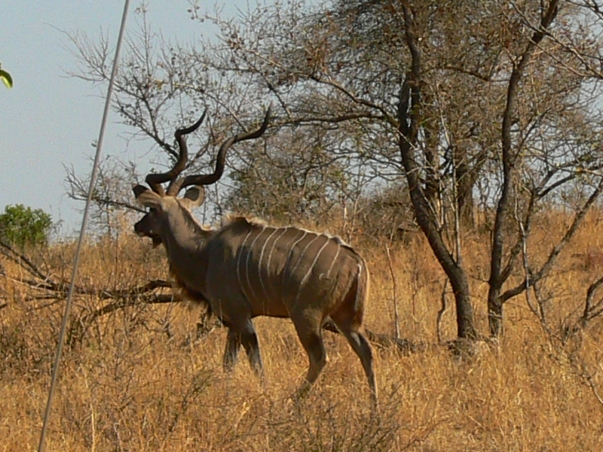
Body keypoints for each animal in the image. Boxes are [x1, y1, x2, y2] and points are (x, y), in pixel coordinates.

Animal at [132, 108, 377, 405]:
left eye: (151, 210)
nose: (138, 226)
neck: (204, 251)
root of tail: (355, 262)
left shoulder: (241, 318)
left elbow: (255, 363)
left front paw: (265, 396)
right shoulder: (232, 323)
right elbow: (228, 363)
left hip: (306, 316)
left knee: (319, 357)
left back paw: (293, 402)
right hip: (347, 318)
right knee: (366, 352)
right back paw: (375, 408)